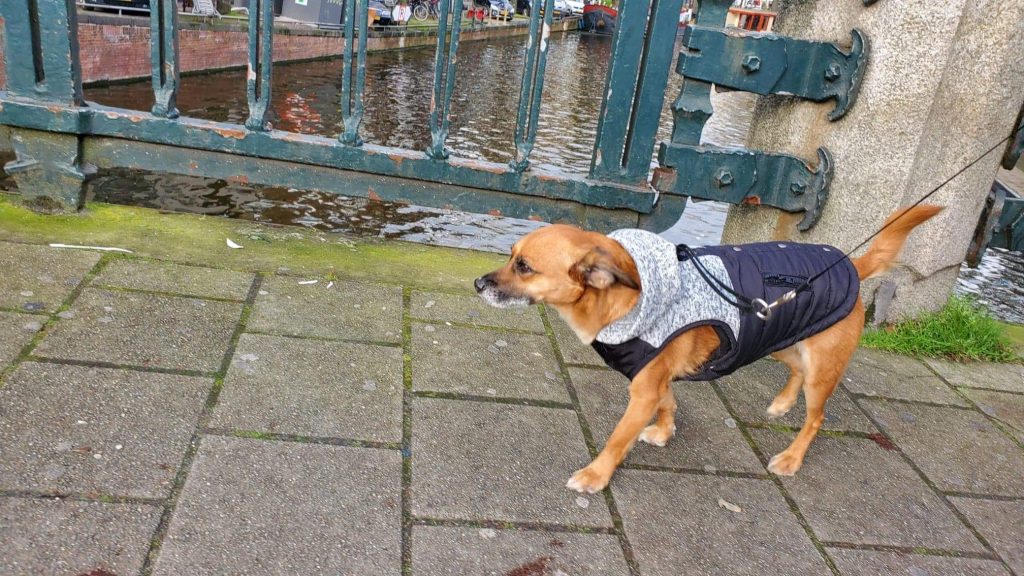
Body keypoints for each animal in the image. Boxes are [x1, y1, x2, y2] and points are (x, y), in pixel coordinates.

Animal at [475, 203, 937, 491]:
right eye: (510, 255)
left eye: (524, 267)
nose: (479, 283)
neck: (623, 298)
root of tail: (851, 267)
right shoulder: (656, 380)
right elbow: (669, 403)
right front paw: (665, 432)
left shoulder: (642, 391)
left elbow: (617, 440)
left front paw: (595, 476)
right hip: (775, 335)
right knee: (796, 370)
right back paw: (782, 403)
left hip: (821, 369)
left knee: (816, 417)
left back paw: (792, 457)